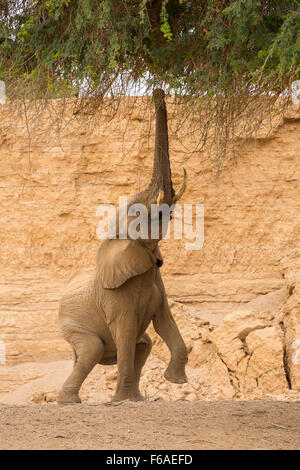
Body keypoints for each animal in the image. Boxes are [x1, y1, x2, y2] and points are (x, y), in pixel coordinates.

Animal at [56, 89, 188, 404]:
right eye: (141, 213)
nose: (157, 91)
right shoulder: (114, 298)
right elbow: (125, 333)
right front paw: (120, 403)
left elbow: (165, 321)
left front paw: (175, 382)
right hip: (71, 323)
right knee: (92, 350)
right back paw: (69, 401)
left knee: (144, 344)